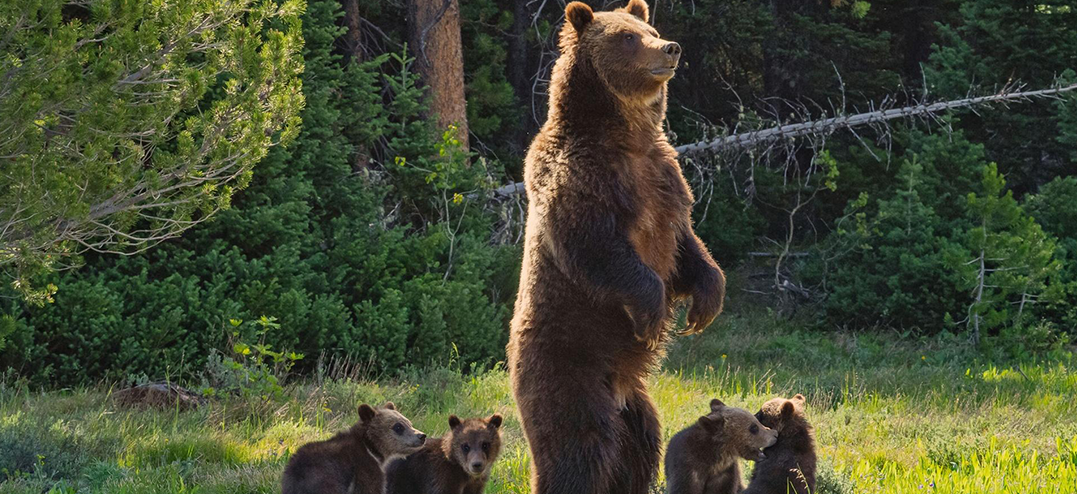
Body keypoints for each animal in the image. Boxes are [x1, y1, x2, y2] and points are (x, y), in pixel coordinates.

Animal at [281, 402, 427, 494]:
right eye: (398, 426)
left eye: (409, 423)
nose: (421, 436)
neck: (371, 448)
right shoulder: (364, 469)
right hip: (326, 479)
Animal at [506, 0, 726, 493]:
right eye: (626, 37)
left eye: (651, 29)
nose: (670, 47)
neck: (627, 137)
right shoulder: (581, 178)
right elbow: (598, 249)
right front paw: (653, 313)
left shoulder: (665, 180)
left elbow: (687, 247)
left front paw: (705, 304)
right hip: (568, 365)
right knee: (579, 445)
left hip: (636, 405)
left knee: (639, 446)